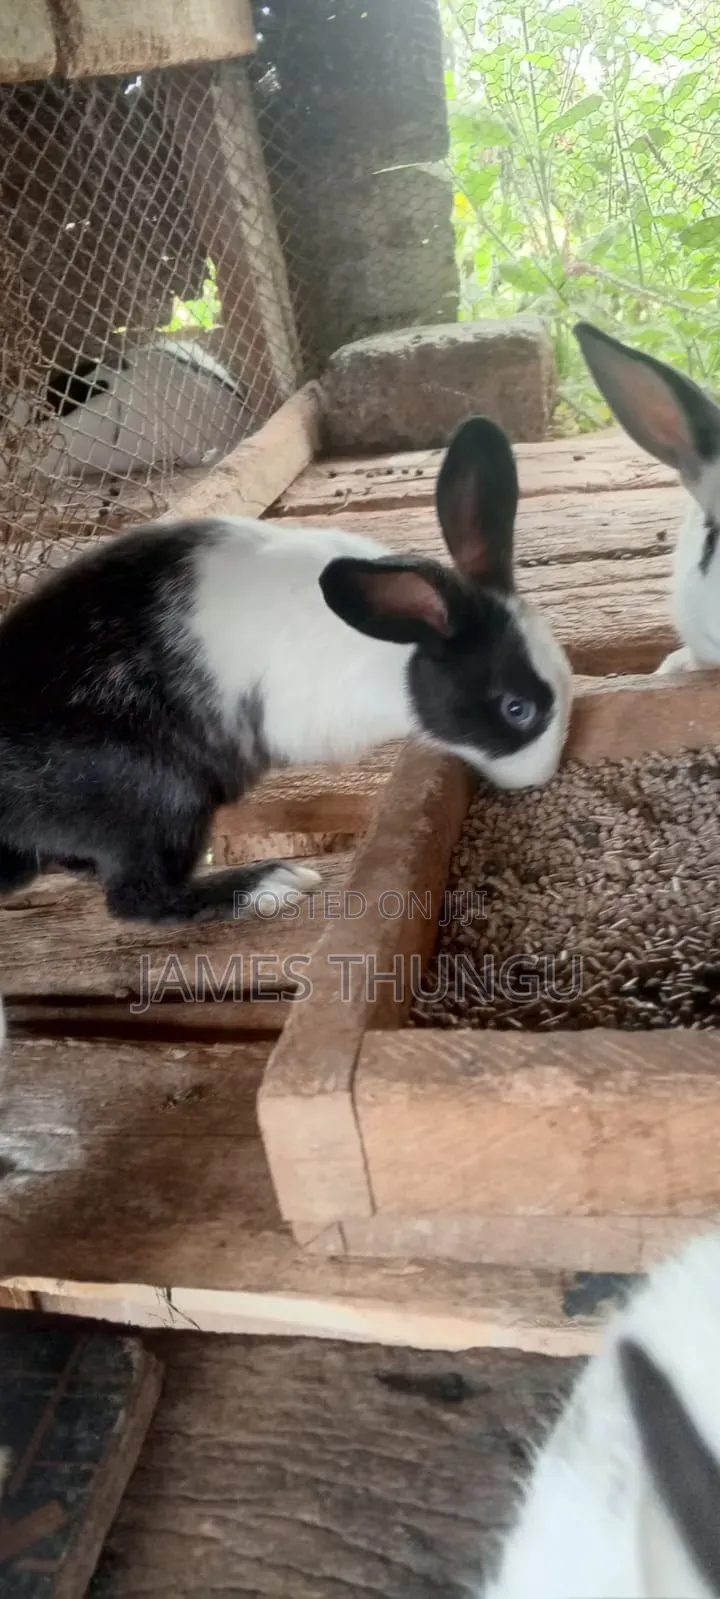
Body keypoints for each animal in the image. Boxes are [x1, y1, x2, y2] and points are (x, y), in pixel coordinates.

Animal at [0, 414, 572, 926]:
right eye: (516, 708)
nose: (541, 776)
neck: (397, 647)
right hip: (160, 798)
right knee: (137, 898)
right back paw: (269, 885)